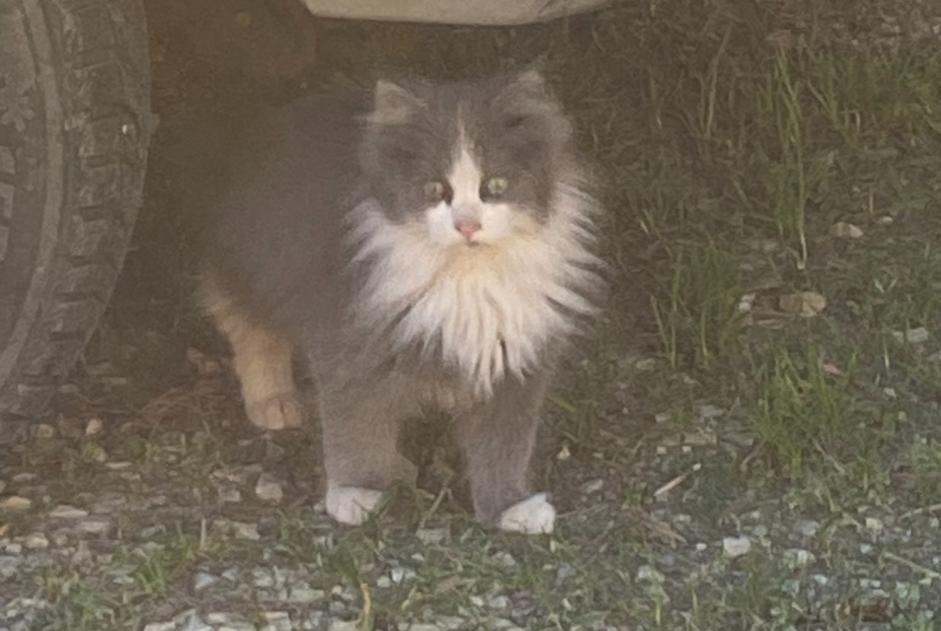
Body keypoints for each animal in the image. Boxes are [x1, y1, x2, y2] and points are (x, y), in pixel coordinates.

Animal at [202, 68, 604, 532]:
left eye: (495, 185)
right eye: (434, 189)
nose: (467, 225)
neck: (467, 278)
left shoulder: (514, 359)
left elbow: (504, 446)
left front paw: (510, 507)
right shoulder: (350, 338)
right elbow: (356, 425)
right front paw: (357, 493)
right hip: (253, 263)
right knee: (248, 328)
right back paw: (275, 402)